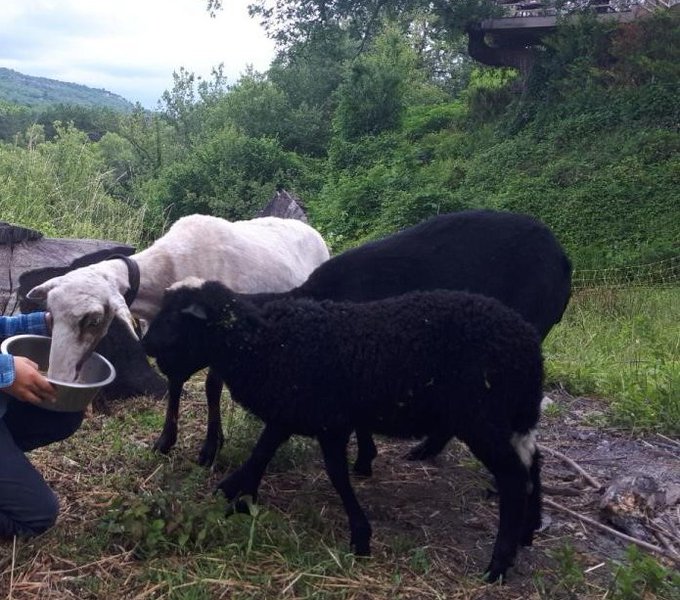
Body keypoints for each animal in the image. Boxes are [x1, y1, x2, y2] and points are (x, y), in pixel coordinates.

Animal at [26, 214, 330, 465]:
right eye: (50, 316)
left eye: (93, 320)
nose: (58, 378)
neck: (170, 268)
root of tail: (307, 226)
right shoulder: (167, 344)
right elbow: (174, 383)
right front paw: (165, 442)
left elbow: (211, 388)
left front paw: (210, 448)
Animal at [142, 277, 545, 582]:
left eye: (175, 318)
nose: (145, 345)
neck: (264, 342)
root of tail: (527, 345)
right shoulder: (291, 412)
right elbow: (262, 452)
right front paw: (235, 494)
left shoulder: (328, 420)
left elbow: (335, 473)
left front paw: (360, 536)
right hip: (509, 419)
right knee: (532, 463)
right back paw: (527, 532)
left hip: (480, 416)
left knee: (513, 477)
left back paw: (497, 564)